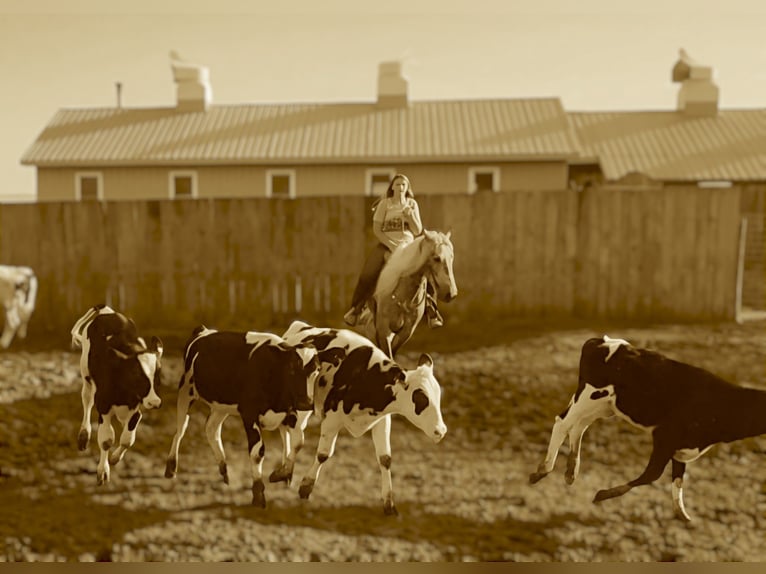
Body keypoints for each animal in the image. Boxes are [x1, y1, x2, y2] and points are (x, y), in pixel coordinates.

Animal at [70, 306, 164, 486]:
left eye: (158, 376)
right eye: (137, 375)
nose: (155, 402)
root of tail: (107, 311)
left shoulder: (134, 408)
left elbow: (128, 439)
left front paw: (114, 458)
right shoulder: (103, 406)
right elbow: (106, 440)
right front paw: (103, 471)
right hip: (86, 375)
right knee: (86, 401)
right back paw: (84, 435)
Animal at [165, 326, 320, 510]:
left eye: (316, 371)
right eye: (292, 369)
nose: (306, 402)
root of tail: (204, 330)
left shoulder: (290, 413)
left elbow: (298, 443)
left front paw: (281, 473)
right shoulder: (249, 413)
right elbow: (258, 452)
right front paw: (258, 494)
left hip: (221, 405)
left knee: (211, 428)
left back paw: (224, 469)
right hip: (185, 390)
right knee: (181, 429)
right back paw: (171, 467)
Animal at [284, 320, 450, 516]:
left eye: (438, 394)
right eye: (421, 397)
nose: (441, 430)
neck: (366, 376)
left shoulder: (382, 420)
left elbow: (385, 459)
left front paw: (389, 503)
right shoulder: (332, 418)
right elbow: (323, 454)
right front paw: (306, 487)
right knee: (295, 437)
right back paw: (284, 472)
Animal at [532, 336, 766, 524]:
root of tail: (604, 340)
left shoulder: (681, 447)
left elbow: (677, 479)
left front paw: (681, 513)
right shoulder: (665, 437)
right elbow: (652, 474)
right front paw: (601, 494)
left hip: (603, 407)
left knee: (579, 426)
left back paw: (571, 471)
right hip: (590, 396)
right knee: (562, 422)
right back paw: (544, 470)